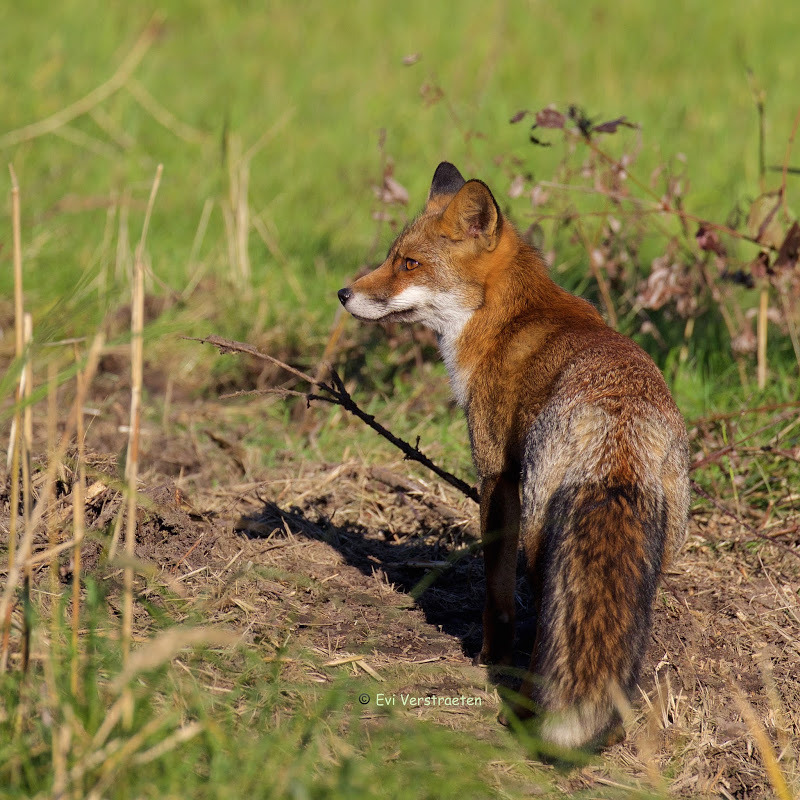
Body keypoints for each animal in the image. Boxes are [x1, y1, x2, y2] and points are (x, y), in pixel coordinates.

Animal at [338, 162, 688, 752]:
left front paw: (488, 656)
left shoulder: (495, 474)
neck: (503, 319)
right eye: (391, 256)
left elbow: (496, 594)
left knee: (543, 609)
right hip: (660, 546)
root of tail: (617, 429)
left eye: (408, 263)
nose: (342, 293)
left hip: (537, 525)